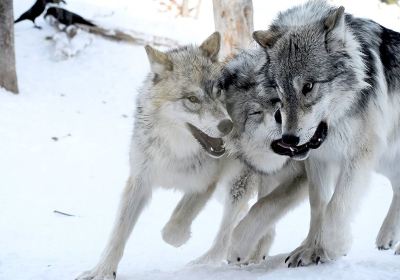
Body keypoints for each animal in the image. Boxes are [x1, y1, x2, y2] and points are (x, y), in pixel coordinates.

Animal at [75, 31, 234, 278]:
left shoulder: (205, 184)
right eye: (192, 99)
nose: (227, 125)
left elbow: (173, 227)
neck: (175, 152)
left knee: (229, 231)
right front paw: (102, 271)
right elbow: (118, 234)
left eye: (218, 92)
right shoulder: (139, 181)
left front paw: (181, 238)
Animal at [228, 0, 400, 266]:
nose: (289, 140)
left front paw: (335, 246)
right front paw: (310, 249)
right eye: (278, 92)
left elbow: (336, 206)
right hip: (384, 162)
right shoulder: (319, 160)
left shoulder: (360, 154)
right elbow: (319, 205)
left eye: (308, 87)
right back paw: (387, 237)